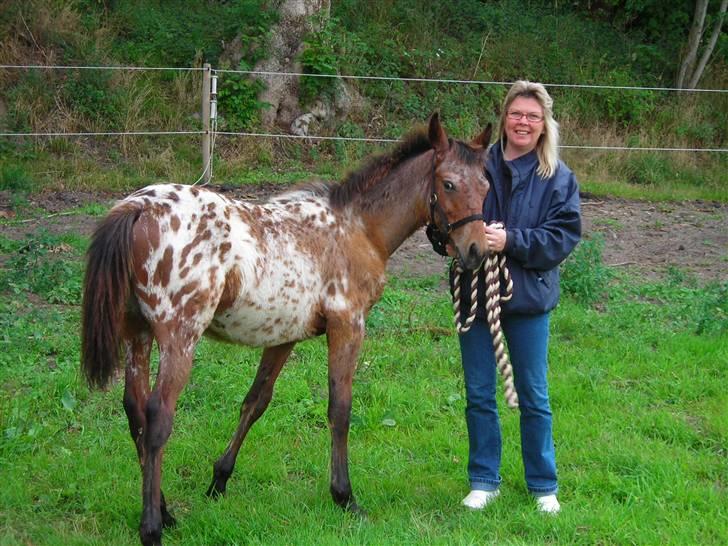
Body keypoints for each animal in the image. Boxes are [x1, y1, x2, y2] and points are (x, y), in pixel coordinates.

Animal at [81, 112, 494, 540]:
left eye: (485, 184)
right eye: (448, 183)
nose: (476, 251)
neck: (358, 228)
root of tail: (139, 206)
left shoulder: (284, 336)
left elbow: (255, 401)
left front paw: (219, 480)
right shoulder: (348, 325)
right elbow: (340, 408)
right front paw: (344, 496)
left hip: (138, 335)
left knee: (135, 411)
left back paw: (165, 511)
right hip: (180, 337)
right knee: (158, 415)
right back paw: (152, 526)